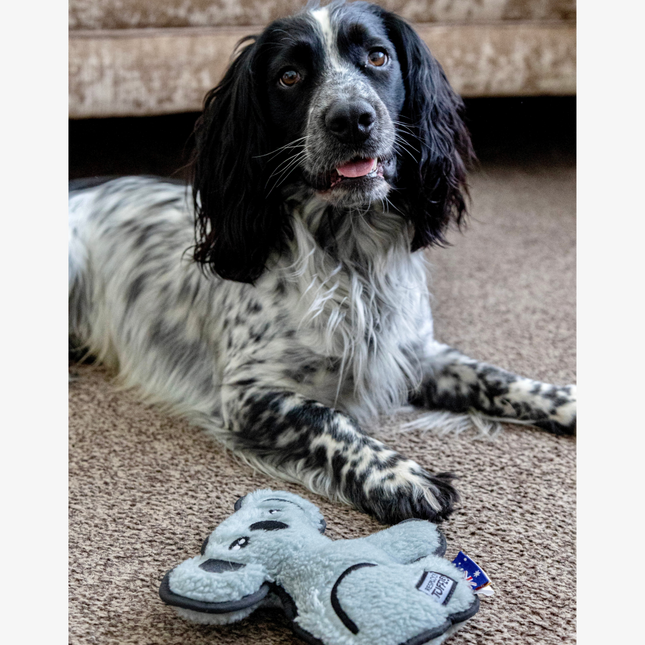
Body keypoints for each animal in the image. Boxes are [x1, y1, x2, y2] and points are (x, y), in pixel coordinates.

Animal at [68, 0, 576, 524]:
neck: (352, 255)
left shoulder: (414, 351)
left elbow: (492, 376)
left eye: (377, 57)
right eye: (289, 76)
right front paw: (399, 476)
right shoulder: (249, 391)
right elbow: (329, 418)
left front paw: (567, 401)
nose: (352, 118)